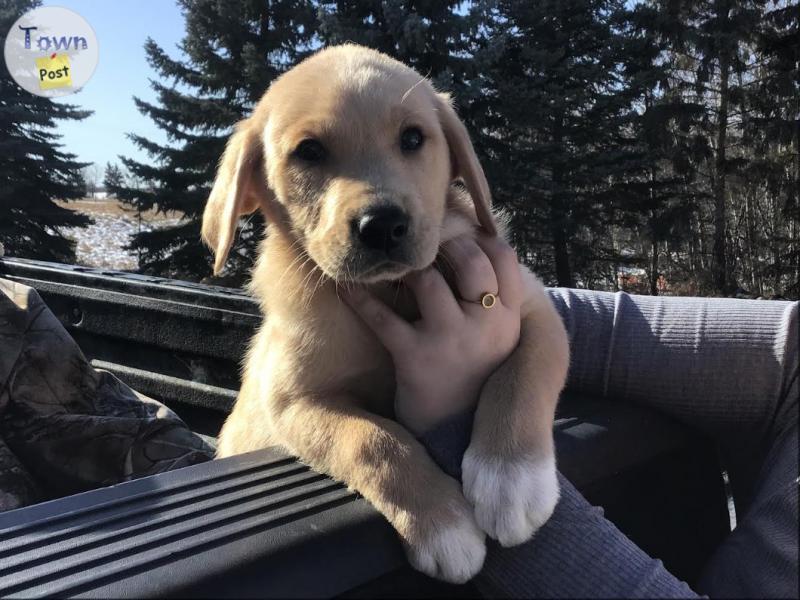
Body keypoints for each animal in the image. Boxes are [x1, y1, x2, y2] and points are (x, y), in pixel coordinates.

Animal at [203, 44, 572, 584]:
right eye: (309, 151)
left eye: (413, 138)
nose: (382, 225)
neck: (388, 292)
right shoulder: (292, 401)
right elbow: (373, 440)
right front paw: (442, 524)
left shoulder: (536, 307)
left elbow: (523, 375)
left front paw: (511, 478)